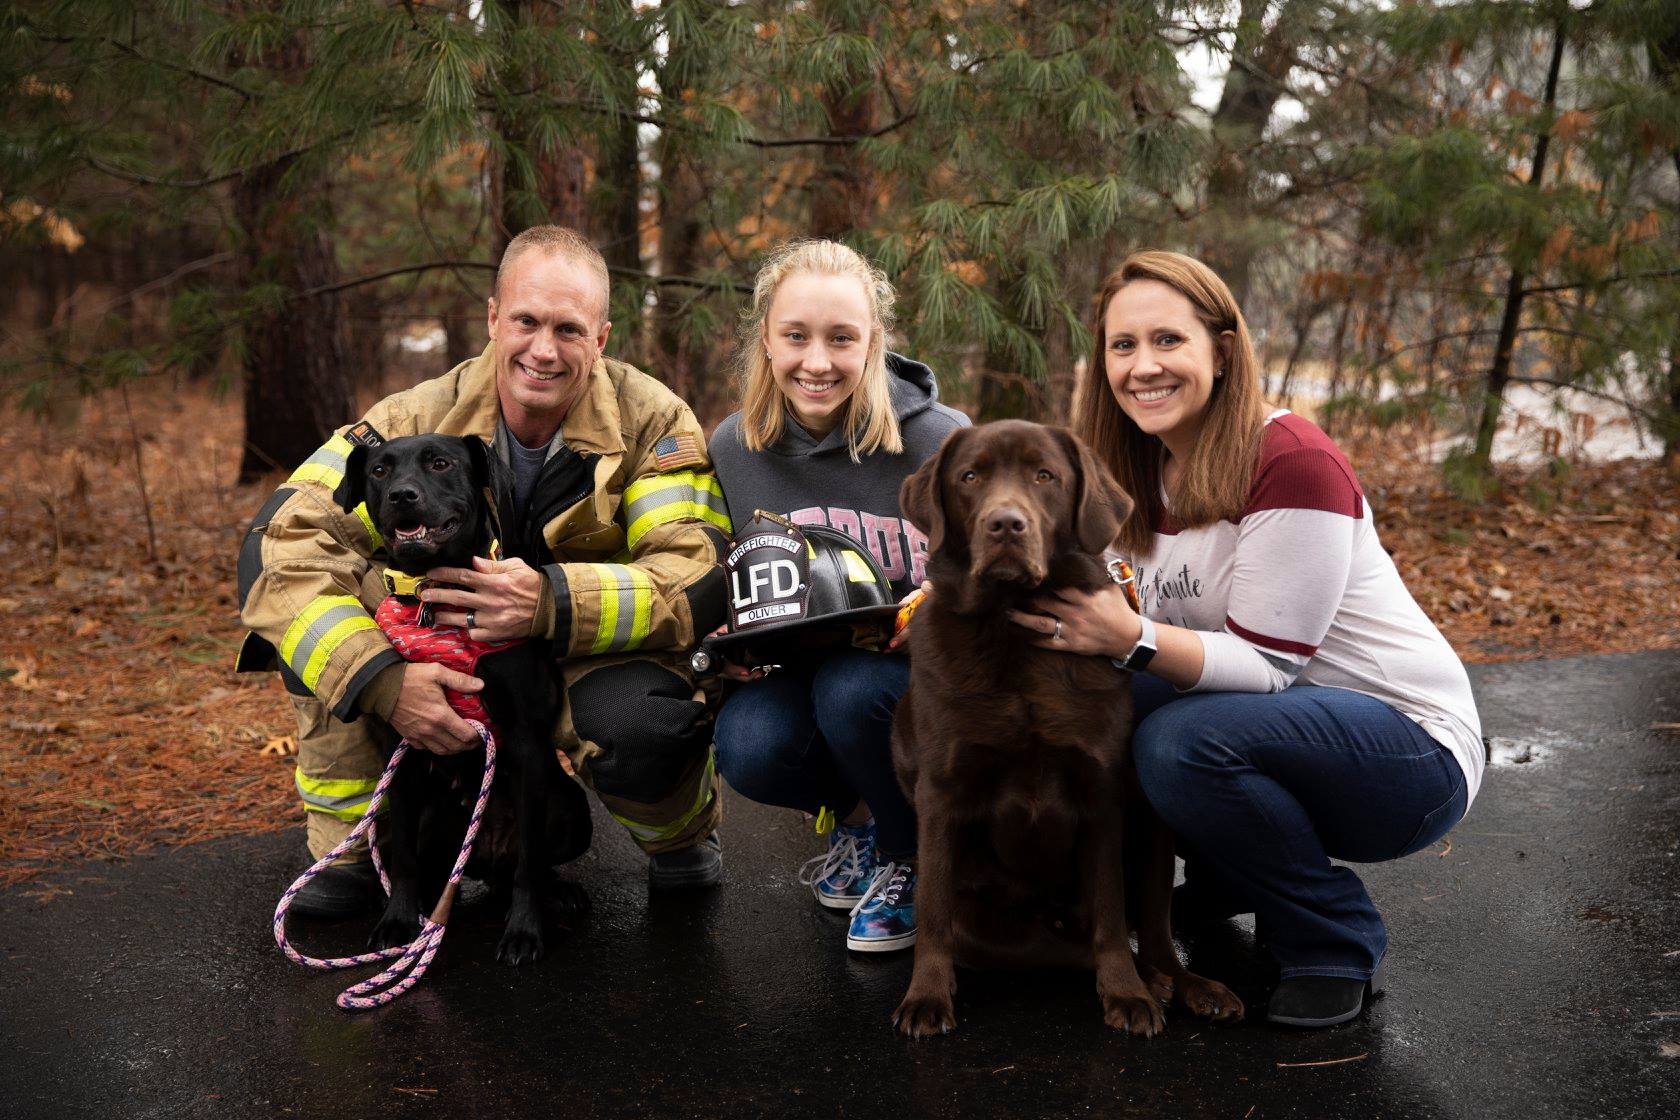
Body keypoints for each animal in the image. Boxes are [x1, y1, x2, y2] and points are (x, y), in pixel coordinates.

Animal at [332, 433, 591, 967]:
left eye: (441, 463)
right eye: (380, 470)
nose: (402, 495)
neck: (439, 593)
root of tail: (486, 853)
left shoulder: (526, 743)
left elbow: (530, 861)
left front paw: (524, 930)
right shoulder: (405, 742)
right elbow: (404, 856)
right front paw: (397, 920)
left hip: (571, 808)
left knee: (526, 866)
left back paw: (557, 893)